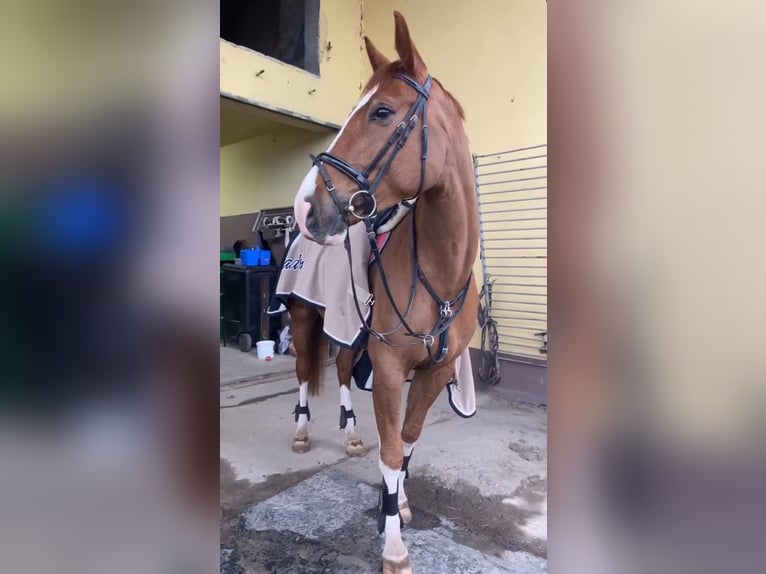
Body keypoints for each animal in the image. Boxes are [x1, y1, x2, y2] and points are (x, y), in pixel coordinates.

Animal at [291, 12, 478, 574]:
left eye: (381, 111)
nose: (305, 207)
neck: (440, 272)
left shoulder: (434, 371)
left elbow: (408, 441)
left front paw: (397, 505)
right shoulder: (392, 367)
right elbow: (392, 450)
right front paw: (393, 546)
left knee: (341, 370)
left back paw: (350, 434)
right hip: (304, 316)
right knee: (304, 370)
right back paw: (303, 431)